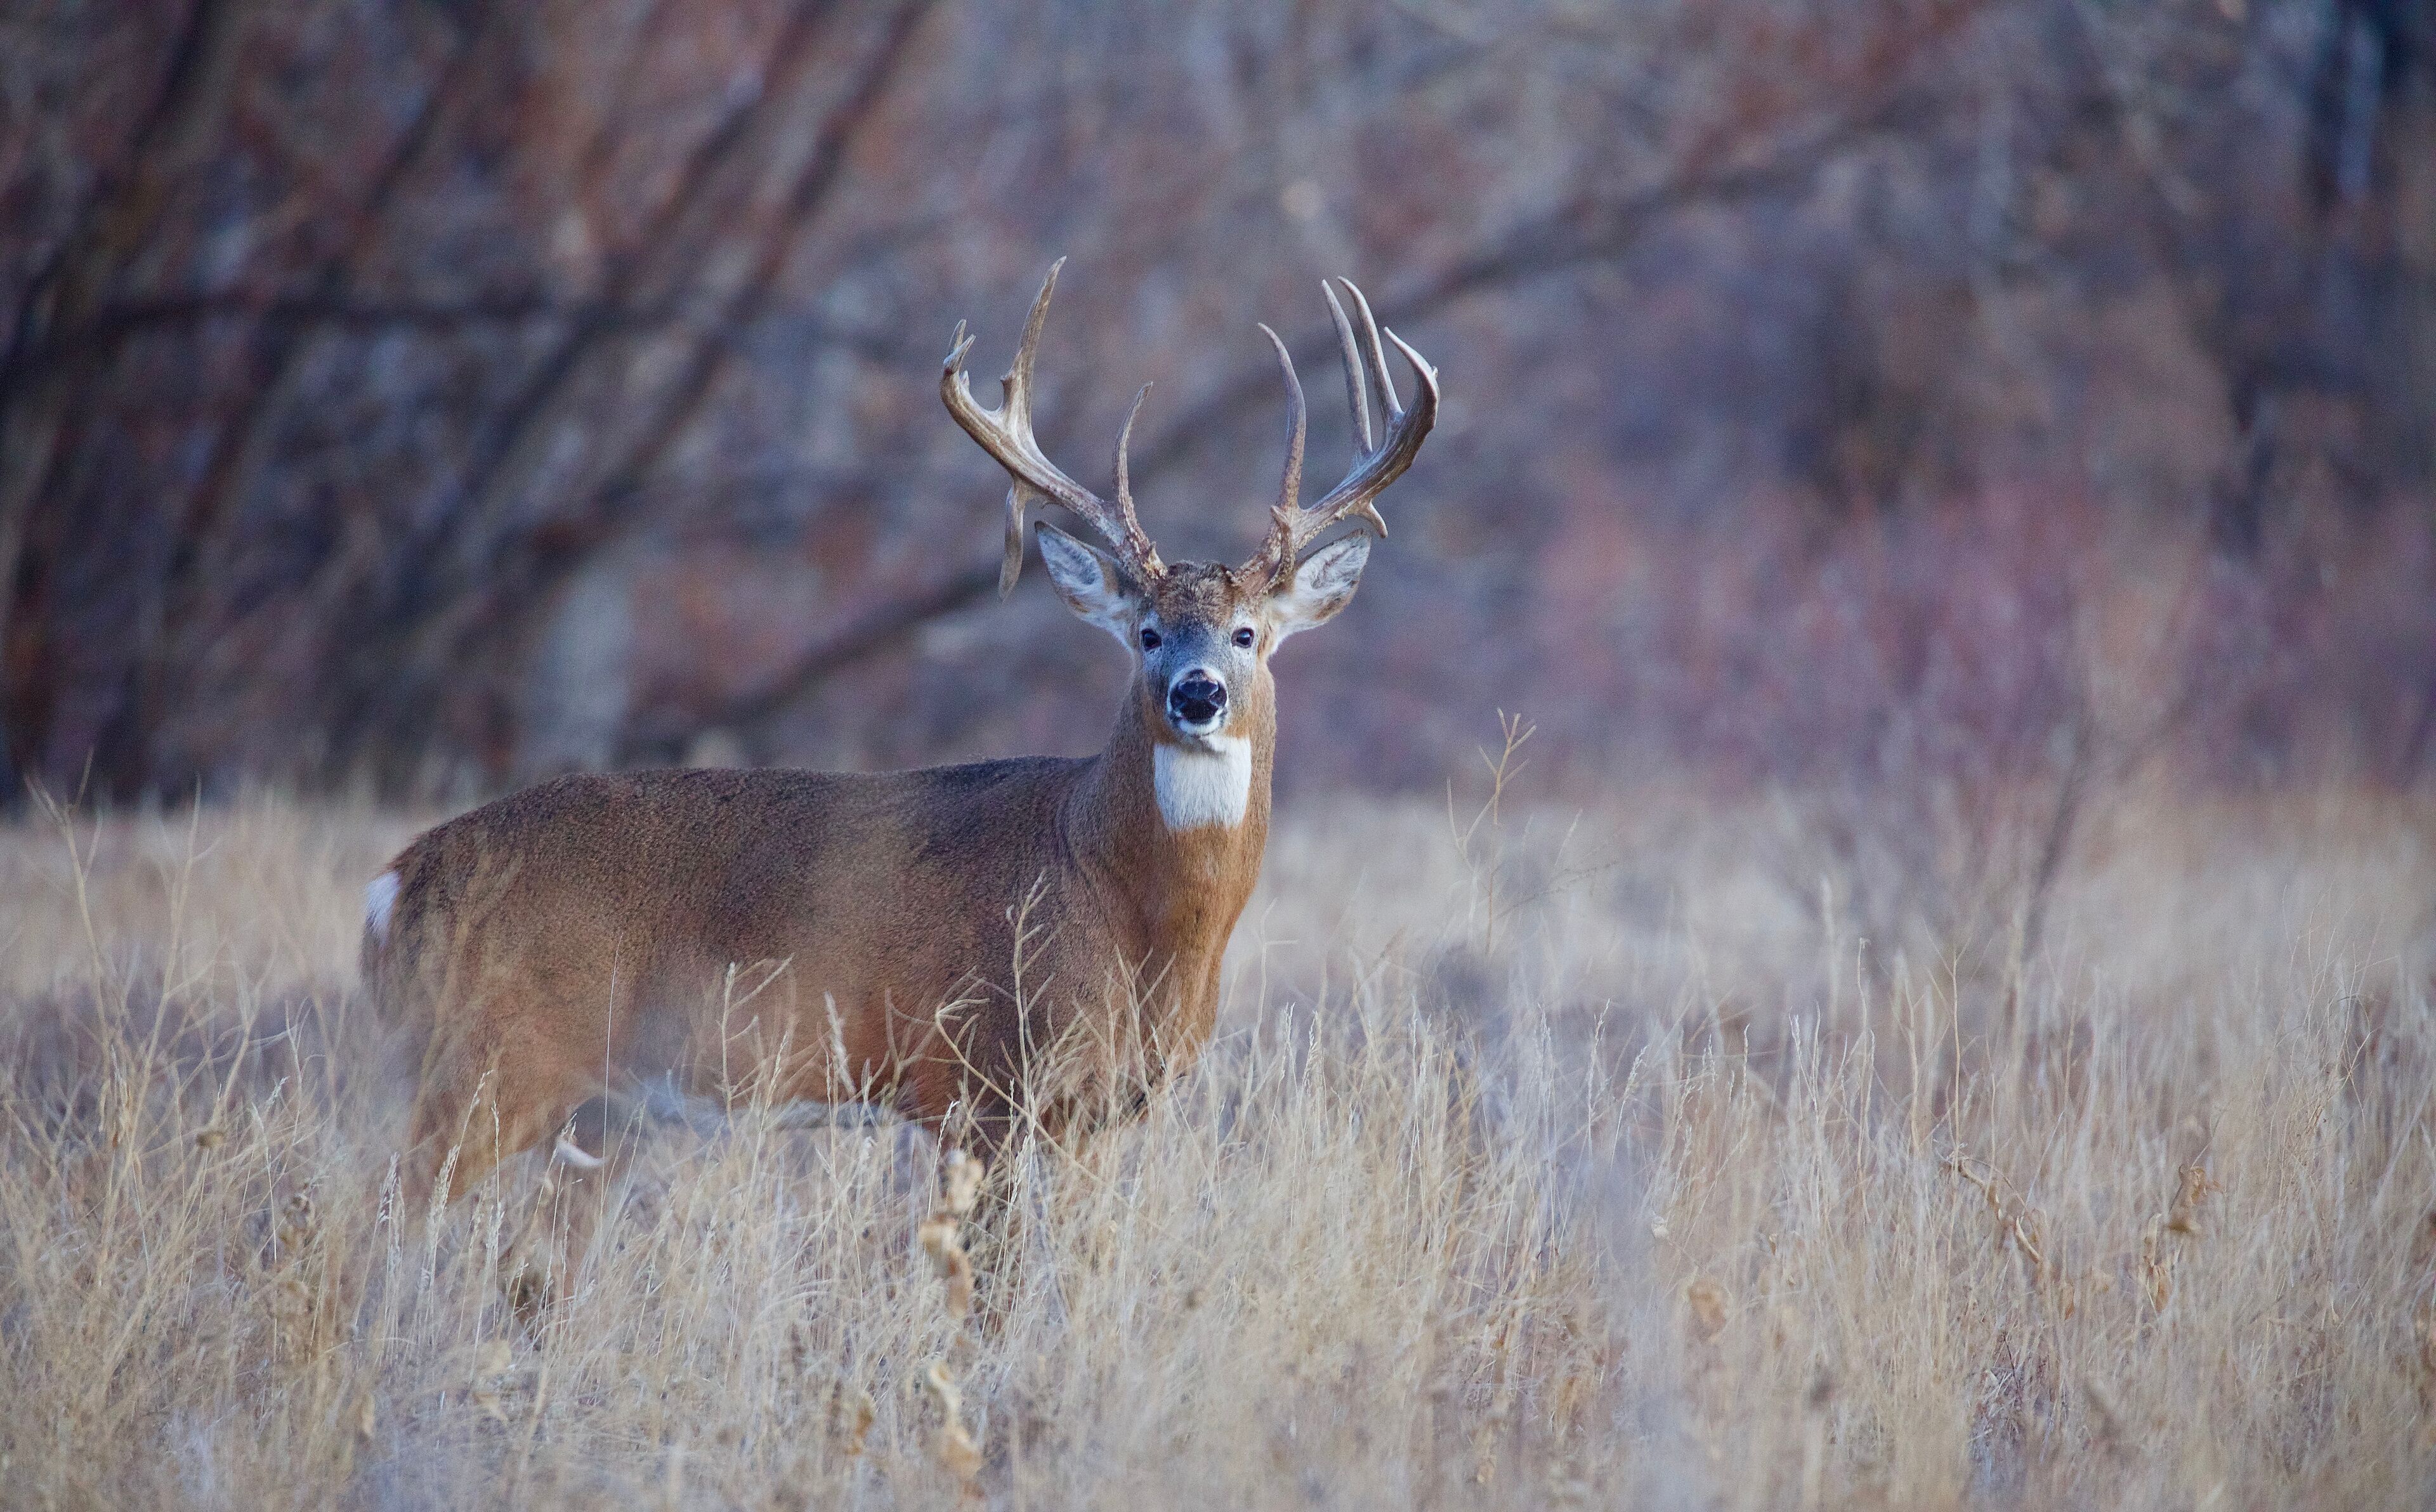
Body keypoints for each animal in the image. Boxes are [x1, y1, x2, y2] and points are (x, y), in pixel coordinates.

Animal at [362, 262, 1438, 1230]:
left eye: (1248, 633)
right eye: (1145, 633)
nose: (1199, 692)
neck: (1121, 897)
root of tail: (396, 883)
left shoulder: (1097, 1113)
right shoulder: (977, 1079)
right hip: (498, 1058)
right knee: (385, 1216)